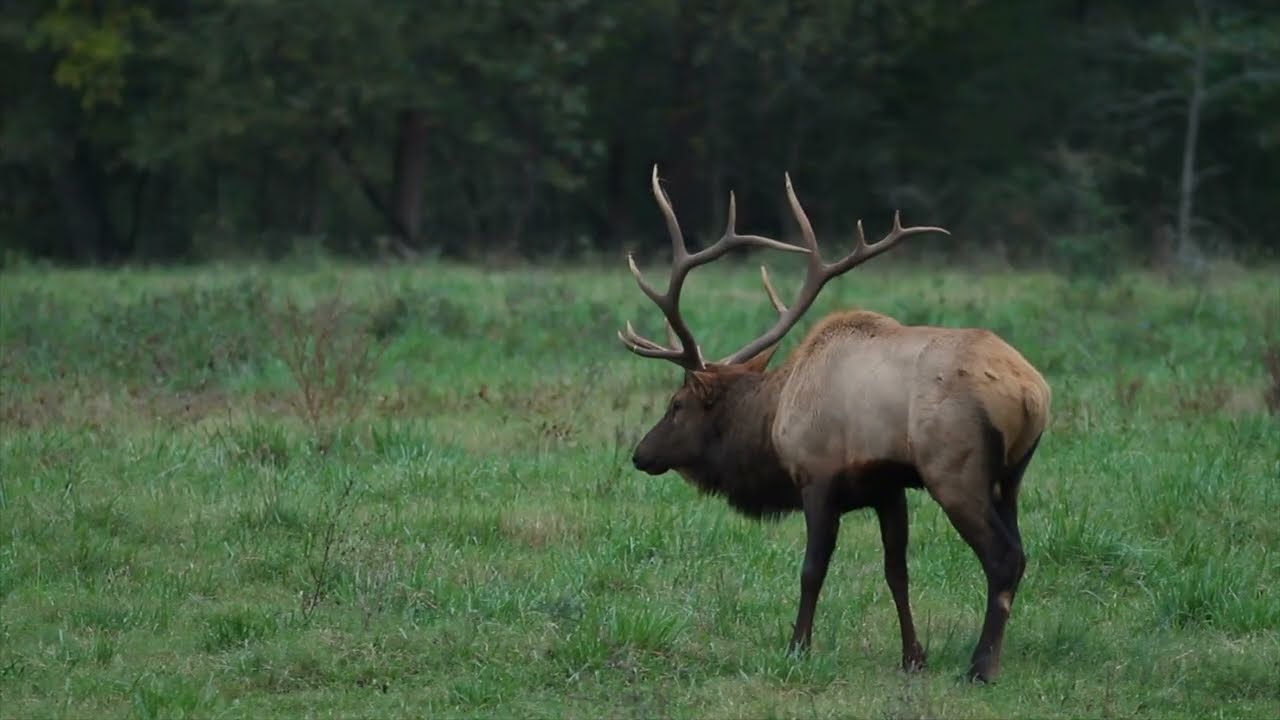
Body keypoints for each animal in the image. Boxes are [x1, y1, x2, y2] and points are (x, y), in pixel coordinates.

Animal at [618, 165, 1051, 682]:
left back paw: (980, 666)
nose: (640, 453)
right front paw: (913, 655)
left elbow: (812, 569)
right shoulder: (888, 488)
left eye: (677, 404)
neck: (774, 420)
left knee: (1003, 557)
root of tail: (1031, 393)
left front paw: (797, 647)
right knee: (1019, 552)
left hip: (955, 470)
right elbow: (897, 571)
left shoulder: (817, 476)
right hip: (1012, 477)